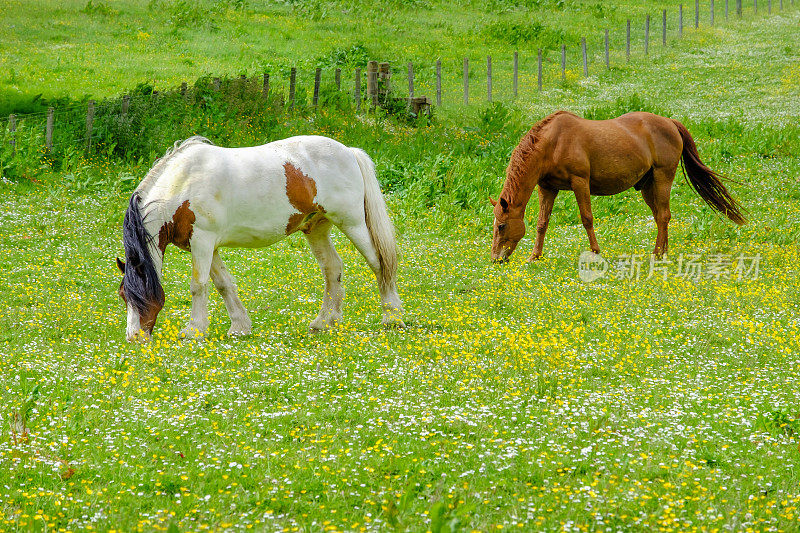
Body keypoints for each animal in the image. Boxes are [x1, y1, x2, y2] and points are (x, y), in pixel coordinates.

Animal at [115, 134, 404, 340]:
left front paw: (194, 330)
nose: (134, 337)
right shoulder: (209, 247)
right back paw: (324, 322)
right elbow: (223, 284)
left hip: (352, 223)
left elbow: (198, 286)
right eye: (123, 295)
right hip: (316, 228)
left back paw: (392, 317)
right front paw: (240, 326)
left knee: (379, 262)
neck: (183, 184)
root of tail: (349, 151)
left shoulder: (203, 242)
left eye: (137, 295)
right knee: (332, 270)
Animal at [490, 110, 748, 262]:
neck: (553, 142)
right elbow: (542, 224)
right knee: (659, 217)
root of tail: (670, 122)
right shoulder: (547, 188)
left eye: (501, 226)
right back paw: (659, 251)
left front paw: (595, 252)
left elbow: (587, 218)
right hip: (647, 186)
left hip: (663, 177)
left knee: (664, 215)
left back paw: (659, 254)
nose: (495, 259)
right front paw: (535, 256)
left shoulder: (580, 182)